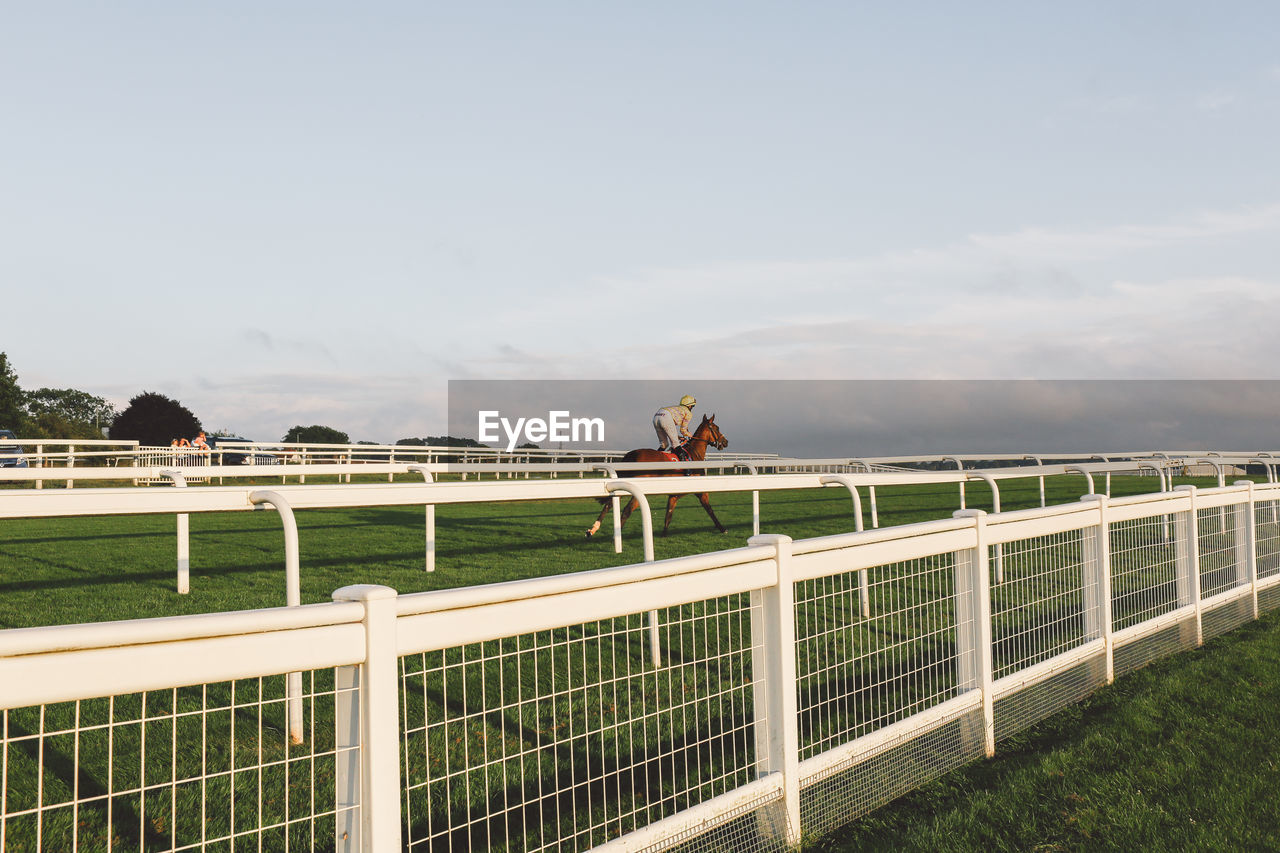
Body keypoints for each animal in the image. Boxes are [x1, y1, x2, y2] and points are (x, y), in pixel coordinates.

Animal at [583, 412, 727, 537]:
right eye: (717, 428)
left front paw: (664, 534)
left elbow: (668, 514)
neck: (694, 455)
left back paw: (592, 529)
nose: (725, 442)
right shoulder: (700, 490)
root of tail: (631, 455)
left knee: (609, 504)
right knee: (626, 510)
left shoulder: (674, 495)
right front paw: (722, 528)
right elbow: (709, 509)